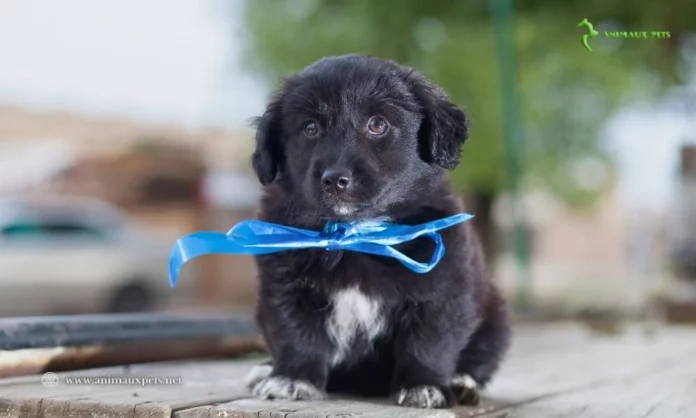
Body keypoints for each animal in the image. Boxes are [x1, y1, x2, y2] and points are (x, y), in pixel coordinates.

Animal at [246, 54, 512, 408]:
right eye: (310, 128)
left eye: (377, 124)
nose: (335, 179)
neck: (357, 233)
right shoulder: (284, 289)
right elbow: (295, 334)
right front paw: (292, 378)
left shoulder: (443, 290)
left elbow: (429, 342)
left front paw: (424, 385)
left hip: (495, 320)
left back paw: (461, 382)